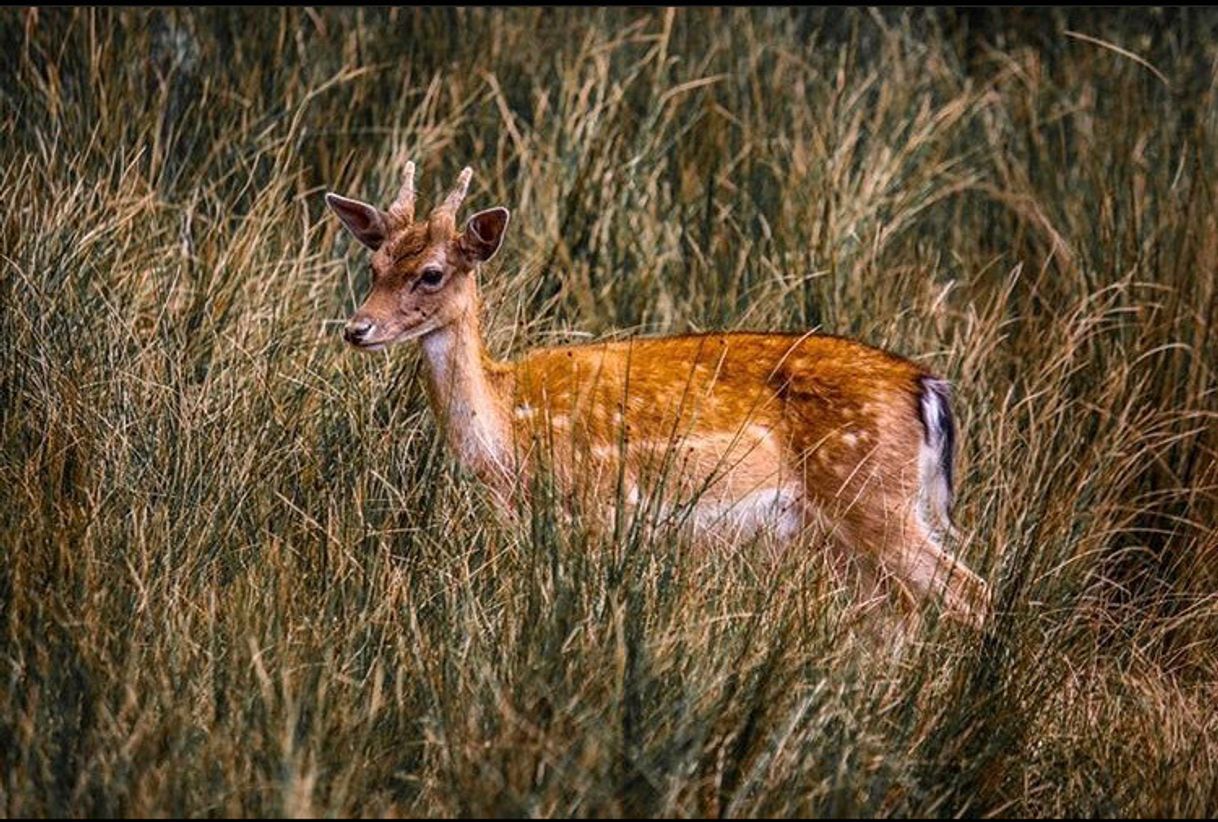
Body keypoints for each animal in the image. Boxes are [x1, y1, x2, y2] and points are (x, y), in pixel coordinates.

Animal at [323, 164, 989, 628]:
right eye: (374, 265)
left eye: (431, 273)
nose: (358, 329)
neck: (509, 434)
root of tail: (926, 386)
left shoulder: (594, 509)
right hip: (849, 532)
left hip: (875, 498)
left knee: (970, 594)